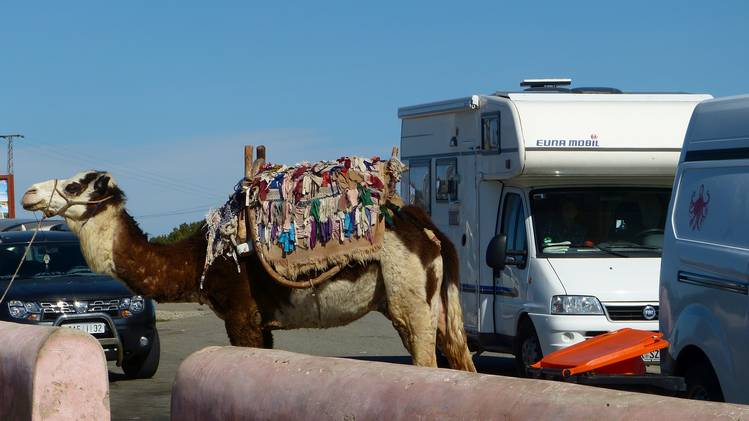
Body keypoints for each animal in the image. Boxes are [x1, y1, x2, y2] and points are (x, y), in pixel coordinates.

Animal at [24, 169, 480, 370]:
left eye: (75, 184)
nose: (29, 192)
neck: (201, 258)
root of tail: (430, 231)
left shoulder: (241, 314)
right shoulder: (263, 322)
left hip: (409, 298)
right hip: (435, 303)